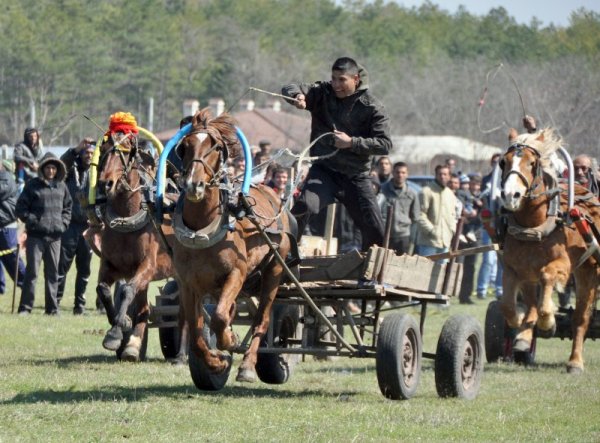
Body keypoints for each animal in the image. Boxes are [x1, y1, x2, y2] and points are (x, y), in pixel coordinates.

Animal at [96, 131, 176, 360]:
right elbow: (103, 289)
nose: (105, 183)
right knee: (144, 310)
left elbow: (127, 291)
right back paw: (132, 346)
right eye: (103, 150)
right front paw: (121, 324)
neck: (127, 218)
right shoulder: (110, 265)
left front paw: (115, 331)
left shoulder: (147, 267)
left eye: (124, 152)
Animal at [171, 107, 292, 386]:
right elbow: (196, 333)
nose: (194, 185)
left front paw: (229, 341)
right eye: (184, 147)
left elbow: (219, 318)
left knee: (262, 319)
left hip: (274, 270)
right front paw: (216, 362)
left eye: (215, 146)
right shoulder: (187, 284)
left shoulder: (237, 273)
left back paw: (247, 365)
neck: (202, 229)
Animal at [500, 128, 596, 374]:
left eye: (532, 163)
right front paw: (522, 330)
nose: (511, 195)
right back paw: (525, 337)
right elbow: (510, 308)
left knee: (581, 319)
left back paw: (575, 362)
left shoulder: (562, 265)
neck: (535, 225)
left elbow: (547, 279)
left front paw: (548, 322)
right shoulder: (515, 269)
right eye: (503, 162)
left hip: (588, 273)